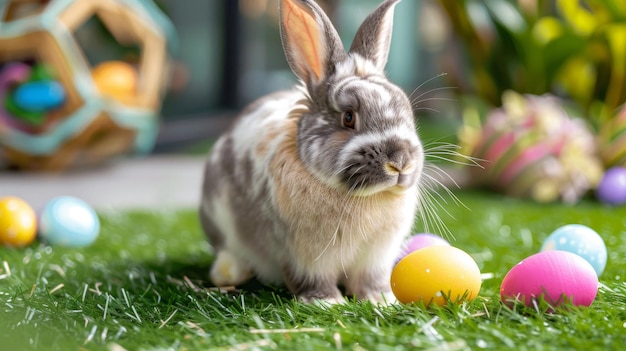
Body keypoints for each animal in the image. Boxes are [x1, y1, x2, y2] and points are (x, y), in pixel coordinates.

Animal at [199, 0, 424, 304]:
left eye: (407, 112)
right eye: (349, 118)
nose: (400, 162)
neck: (361, 197)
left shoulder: (376, 256)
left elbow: (370, 280)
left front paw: (381, 301)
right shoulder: (304, 257)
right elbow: (312, 280)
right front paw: (327, 302)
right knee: (226, 250)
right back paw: (229, 274)